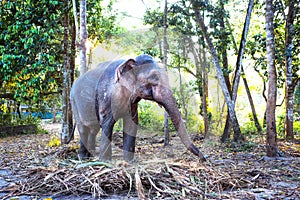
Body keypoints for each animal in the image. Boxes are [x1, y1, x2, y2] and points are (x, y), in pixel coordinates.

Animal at [70, 54, 206, 162]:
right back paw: (83, 158)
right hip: (74, 103)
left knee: (93, 129)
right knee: (83, 129)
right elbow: (107, 122)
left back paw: (90, 155)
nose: (205, 158)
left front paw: (130, 162)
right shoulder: (106, 95)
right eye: (154, 77)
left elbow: (132, 123)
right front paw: (105, 162)